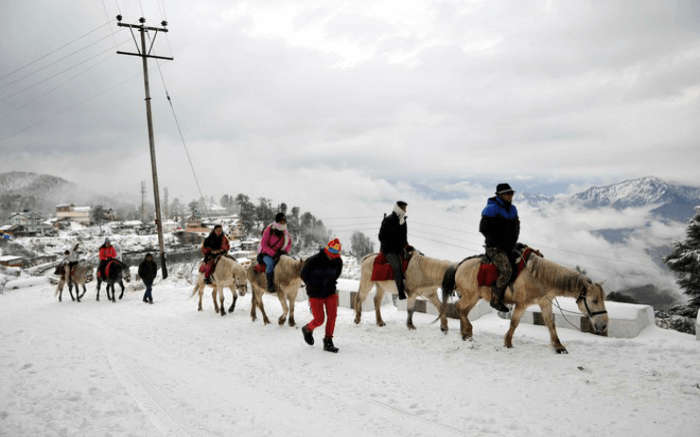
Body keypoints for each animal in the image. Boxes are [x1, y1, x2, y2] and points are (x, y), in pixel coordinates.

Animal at [442, 250, 608, 352]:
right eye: (594, 300)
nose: (603, 325)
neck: (539, 278)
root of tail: (460, 265)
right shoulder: (522, 304)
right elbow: (514, 323)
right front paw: (508, 342)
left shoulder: (545, 302)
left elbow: (550, 323)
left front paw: (559, 347)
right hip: (470, 296)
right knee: (459, 308)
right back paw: (467, 331)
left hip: (474, 297)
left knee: (463, 311)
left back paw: (465, 334)